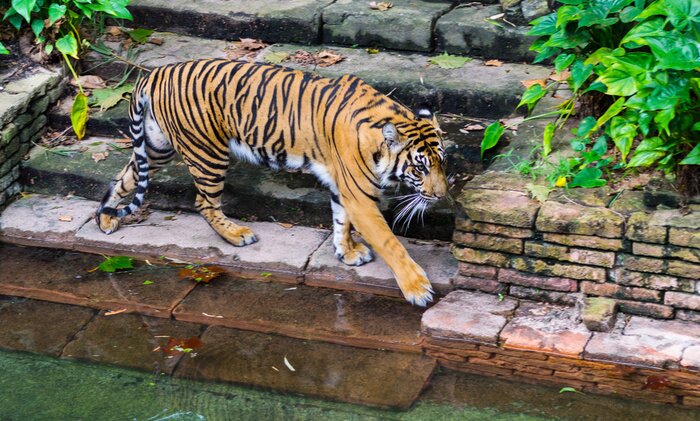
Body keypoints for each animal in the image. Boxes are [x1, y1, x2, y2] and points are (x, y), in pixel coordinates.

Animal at [96, 59, 448, 306]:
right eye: (419, 168)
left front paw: (345, 253)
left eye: (441, 162)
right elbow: (390, 243)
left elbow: (341, 222)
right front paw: (417, 288)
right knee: (204, 203)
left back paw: (105, 219)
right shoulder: (359, 196)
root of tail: (156, 73)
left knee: (124, 175)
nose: (441, 196)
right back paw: (237, 235)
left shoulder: (343, 188)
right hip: (207, 152)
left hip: (158, 146)